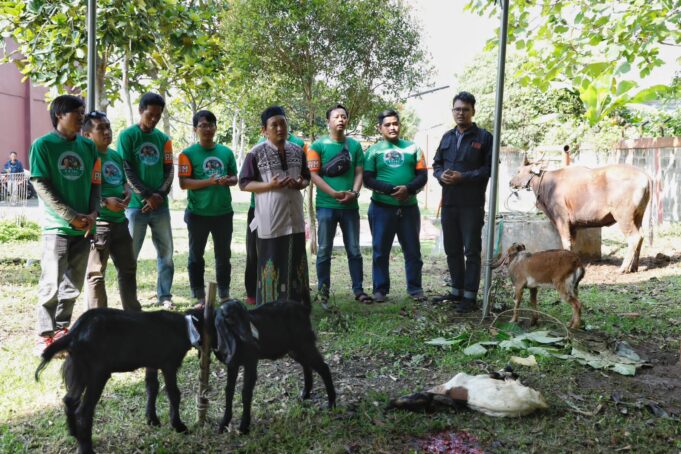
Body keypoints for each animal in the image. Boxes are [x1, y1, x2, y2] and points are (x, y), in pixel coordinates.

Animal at [34, 306, 203, 452]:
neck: (186, 326)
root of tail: (75, 332)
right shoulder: (169, 365)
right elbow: (174, 393)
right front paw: (179, 426)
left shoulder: (151, 362)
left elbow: (152, 386)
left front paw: (152, 419)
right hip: (96, 374)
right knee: (83, 411)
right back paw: (86, 449)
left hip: (78, 371)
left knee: (69, 400)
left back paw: (75, 434)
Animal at [215, 300, 334, 434]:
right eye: (230, 318)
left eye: (246, 315)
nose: (254, 340)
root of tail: (304, 308)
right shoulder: (232, 365)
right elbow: (228, 390)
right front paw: (223, 424)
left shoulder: (251, 361)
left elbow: (245, 392)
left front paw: (243, 427)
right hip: (295, 348)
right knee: (307, 366)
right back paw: (305, 394)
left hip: (304, 343)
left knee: (323, 367)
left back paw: (331, 403)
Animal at [508, 158, 652, 274]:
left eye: (518, 171)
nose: (510, 182)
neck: (546, 185)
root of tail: (647, 178)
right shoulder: (573, 225)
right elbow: (572, 243)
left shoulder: (562, 218)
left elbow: (566, 242)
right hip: (638, 215)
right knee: (641, 236)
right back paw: (634, 267)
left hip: (623, 216)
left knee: (634, 237)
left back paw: (623, 268)